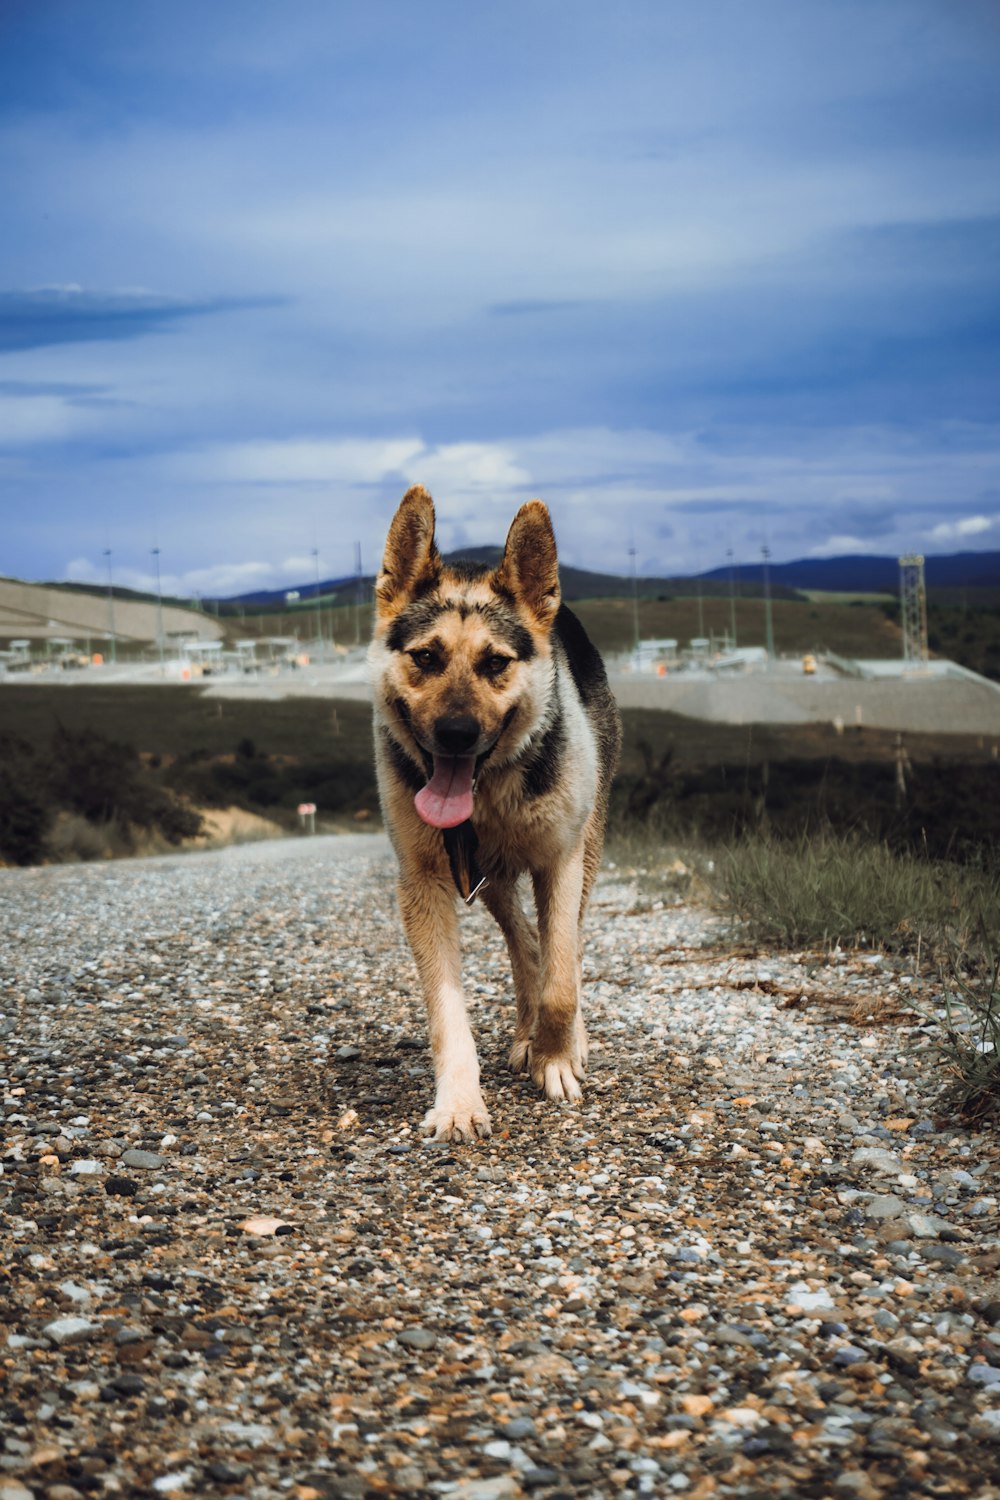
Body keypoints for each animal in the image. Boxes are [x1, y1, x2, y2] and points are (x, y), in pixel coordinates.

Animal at [371, 486, 620, 1140]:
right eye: (426, 657)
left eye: (495, 663)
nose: (456, 734)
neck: (487, 794)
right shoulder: (427, 881)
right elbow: (447, 1009)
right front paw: (459, 1101)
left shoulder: (560, 860)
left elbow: (562, 979)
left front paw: (557, 1059)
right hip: (489, 878)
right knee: (524, 941)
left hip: (580, 849)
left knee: (561, 948)